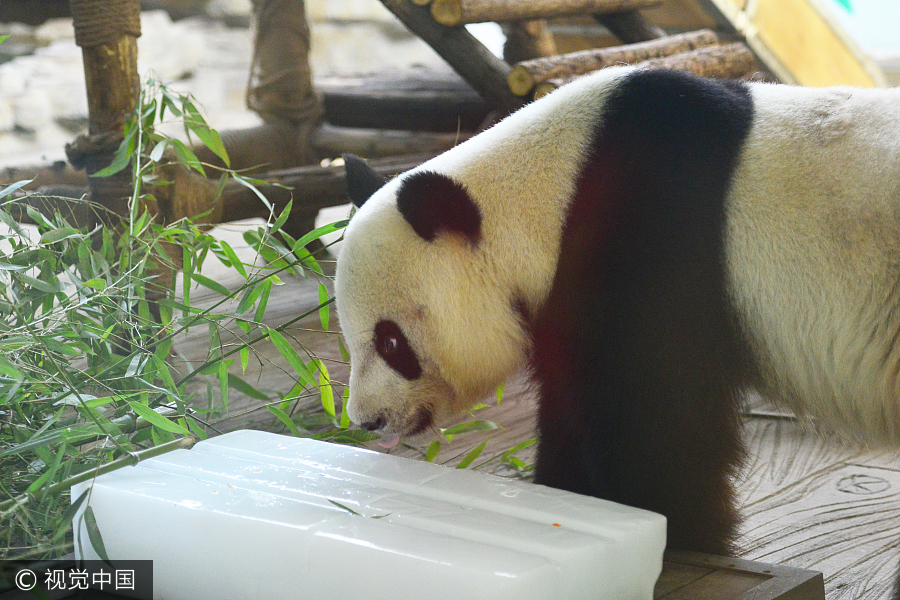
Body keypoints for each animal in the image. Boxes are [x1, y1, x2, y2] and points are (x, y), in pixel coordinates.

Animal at [334, 64, 900, 584]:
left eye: (390, 342)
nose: (368, 420)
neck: (555, 189)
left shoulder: (649, 242)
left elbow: (654, 419)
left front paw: (681, 534)